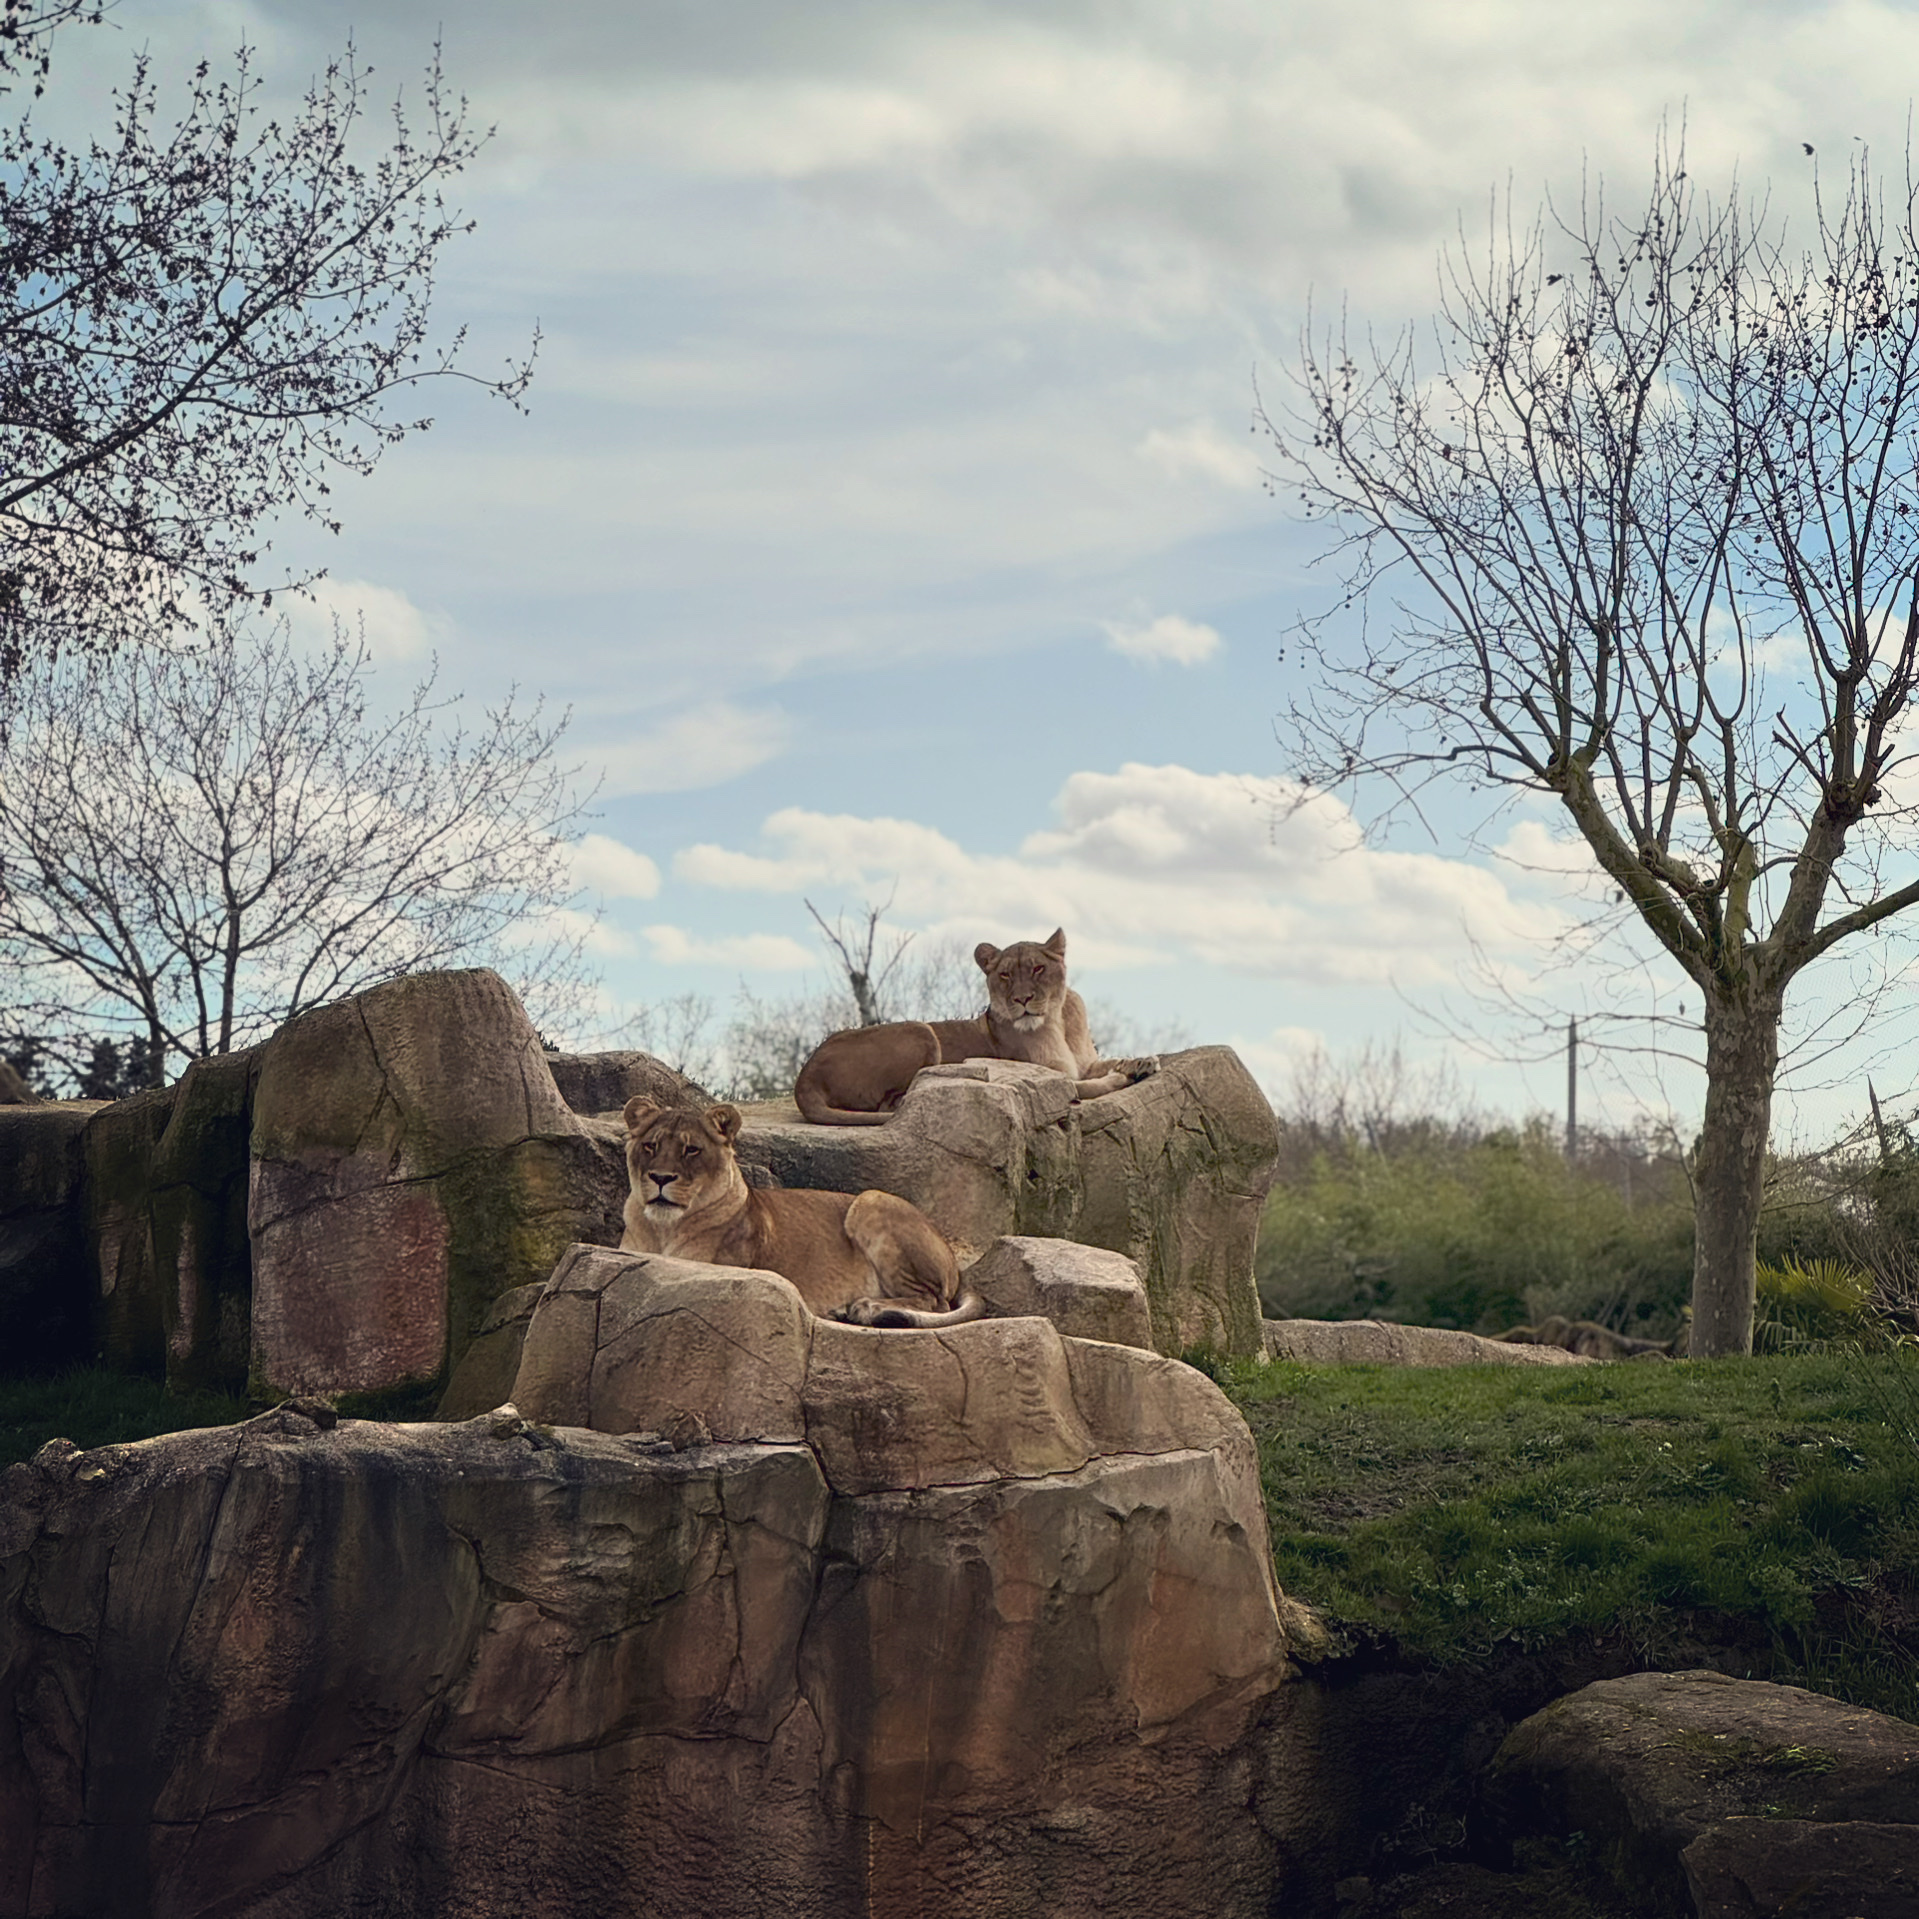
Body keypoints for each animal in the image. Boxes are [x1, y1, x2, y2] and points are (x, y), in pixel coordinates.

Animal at [618, 1096, 984, 1327]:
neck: (662, 1229)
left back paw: (866, 1308)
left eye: (691, 1150)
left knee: (933, 1301)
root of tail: (953, 1259)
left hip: (871, 1200)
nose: (661, 1178)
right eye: (650, 1145)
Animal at [793, 927, 1158, 1126]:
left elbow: (1110, 1062)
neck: (1057, 1019)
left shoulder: (1083, 1063)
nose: (1023, 999)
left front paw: (1143, 1062)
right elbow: (1087, 1087)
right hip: (920, 1030)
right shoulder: (1050, 1075)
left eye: (1038, 968)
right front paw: (1121, 1078)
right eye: (1005, 974)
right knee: (892, 1103)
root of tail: (805, 1073)